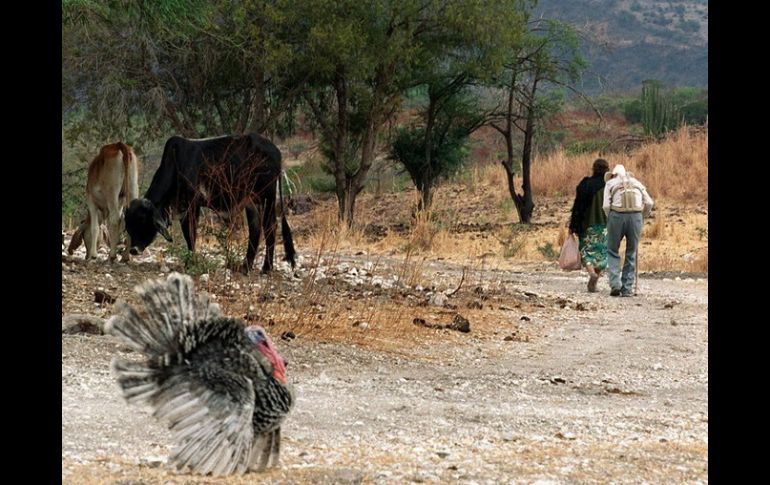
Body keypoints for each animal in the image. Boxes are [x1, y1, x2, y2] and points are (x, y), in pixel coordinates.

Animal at [124, 132, 296, 274]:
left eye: (142, 221)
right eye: (129, 225)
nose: (133, 250)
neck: (176, 165)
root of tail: (276, 151)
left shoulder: (192, 206)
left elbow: (190, 235)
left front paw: (191, 263)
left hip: (267, 197)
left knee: (270, 227)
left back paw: (266, 268)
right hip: (252, 201)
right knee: (255, 229)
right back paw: (245, 267)